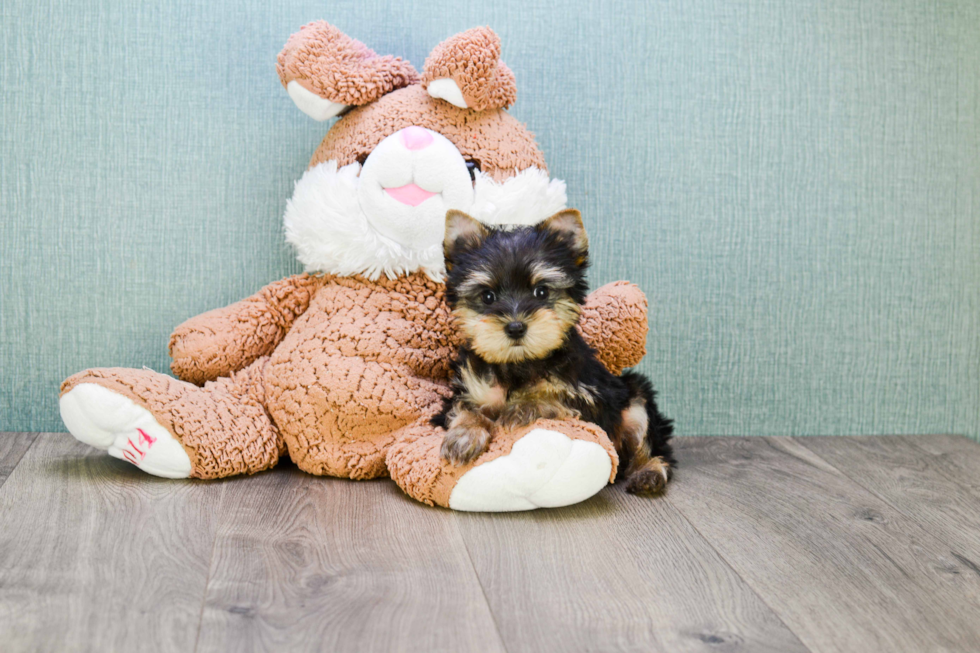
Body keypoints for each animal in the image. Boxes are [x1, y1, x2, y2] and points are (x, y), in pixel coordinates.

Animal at [436, 209, 672, 494]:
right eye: (488, 296)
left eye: (541, 291)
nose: (515, 327)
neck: (519, 362)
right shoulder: (468, 389)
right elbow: (465, 407)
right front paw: (464, 435)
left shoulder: (592, 396)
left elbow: (554, 396)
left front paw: (521, 407)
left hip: (635, 398)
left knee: (650, 440)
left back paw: (650, 472)